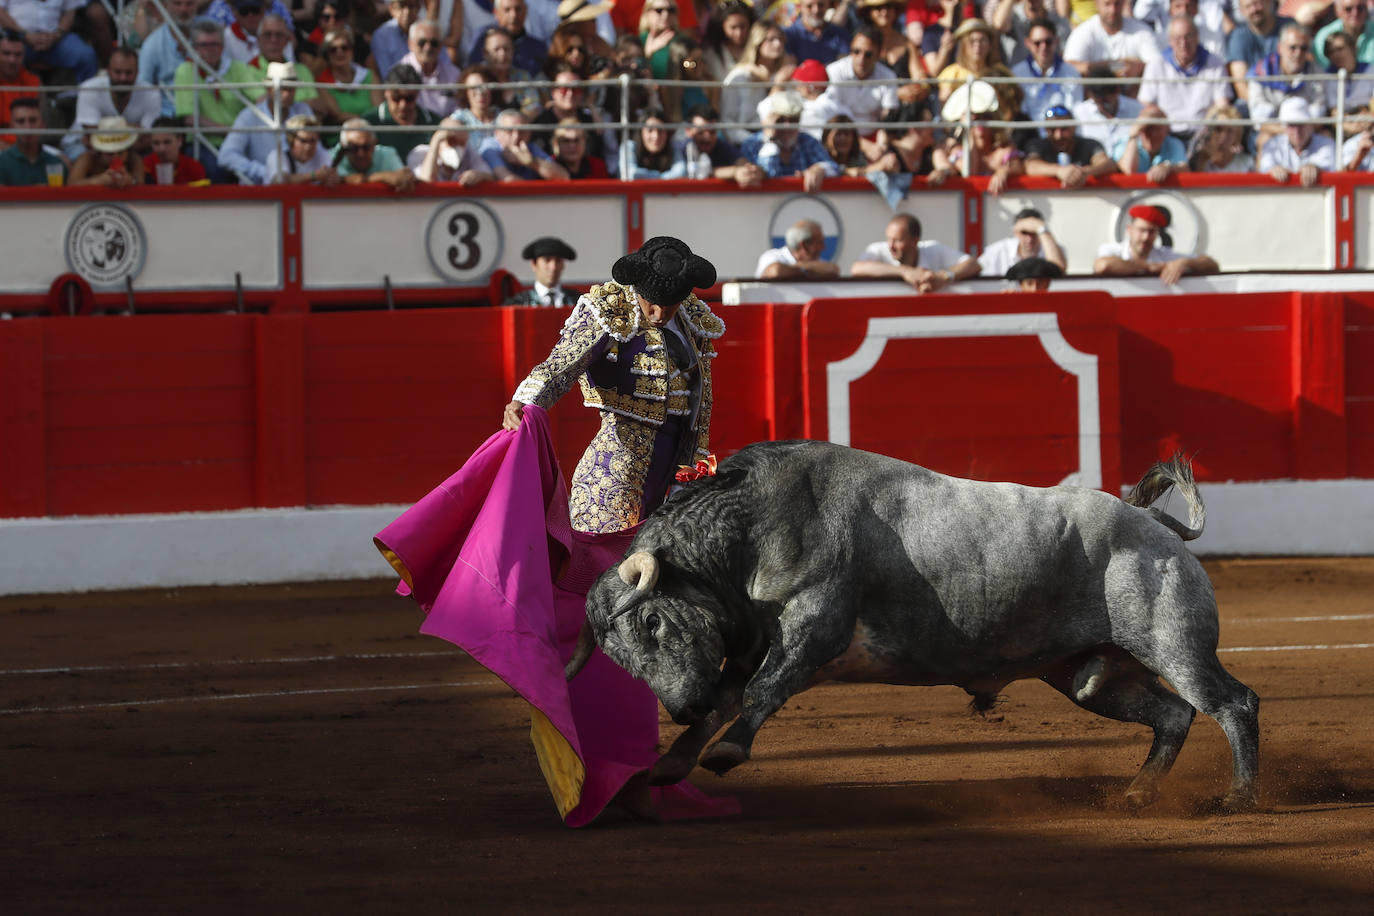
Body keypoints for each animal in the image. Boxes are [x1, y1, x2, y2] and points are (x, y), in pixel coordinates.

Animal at [563, 439, 1258, 813]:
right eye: (619, 657)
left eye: (653, 619)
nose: (678, 706)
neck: (752, 529)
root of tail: (1154, 525)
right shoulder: (746, 650)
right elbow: (729, 699)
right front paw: (672, 762)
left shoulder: (812, 625)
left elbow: (761, 692)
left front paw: (727, 753)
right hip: (1088, 677)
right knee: (1172, 714)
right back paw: (1137, 795)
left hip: (1173, 644)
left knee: (1232, 703)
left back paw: (1240, 797)